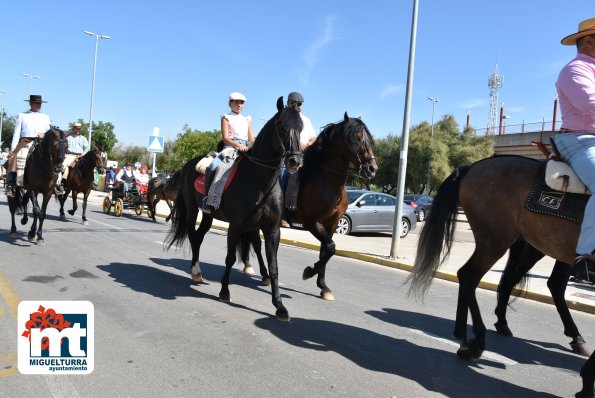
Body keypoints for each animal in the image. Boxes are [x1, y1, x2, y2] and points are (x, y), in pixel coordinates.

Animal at [166, 98, 302, 322]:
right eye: (282, 126)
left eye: (300, 127)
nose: (295, 161)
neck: (260, 180)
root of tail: (187, 165)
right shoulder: (237, 225)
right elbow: (229, 258)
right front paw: (224, 291)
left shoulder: (272, 230)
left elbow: (274, 267)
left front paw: (280, 306)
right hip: (192, 209)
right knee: (194, 237)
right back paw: (196, 271)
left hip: (208, 215)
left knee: (199, 237)